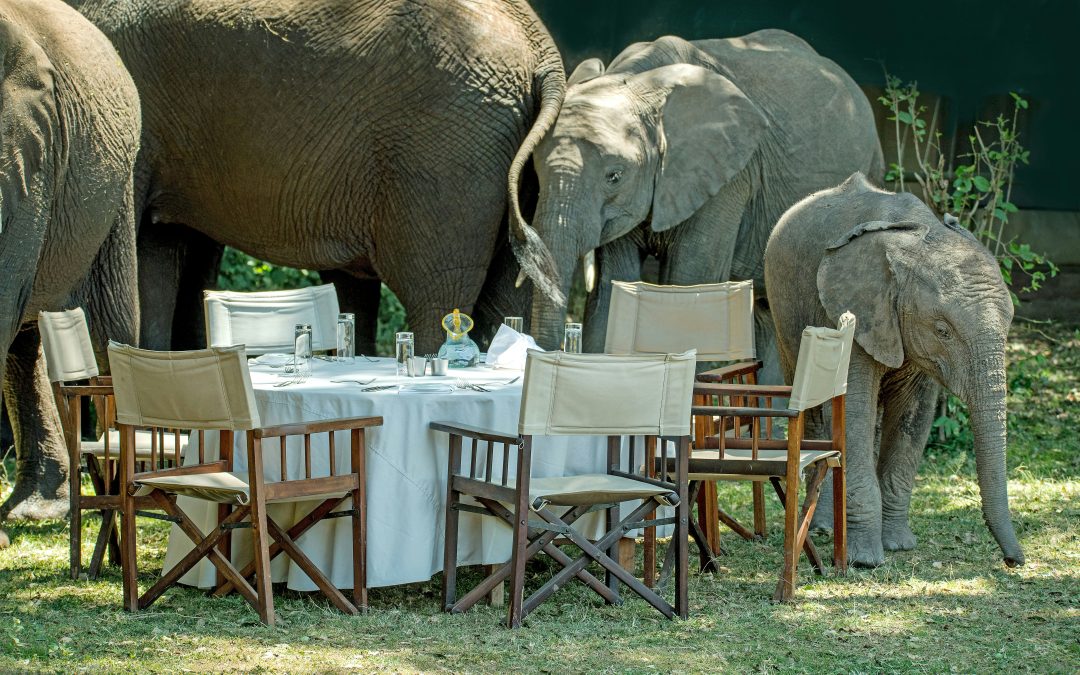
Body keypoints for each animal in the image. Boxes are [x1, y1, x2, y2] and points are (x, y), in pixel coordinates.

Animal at [508, 31, 884, 361]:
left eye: (614, 177)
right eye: (536, 175)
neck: (637, 81)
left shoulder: (729, 176)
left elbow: (689, 283)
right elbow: (614, 287)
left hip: (871, 165)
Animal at [763, 172, 1025, 568]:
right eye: (943, 330)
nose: (1014, 561)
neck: (918, 236)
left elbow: (913, 416)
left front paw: (899, 545)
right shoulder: (856, 309)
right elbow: (853, 411)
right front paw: (866, 560)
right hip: (783, 312)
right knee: (816, 412)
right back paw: (823, 528)